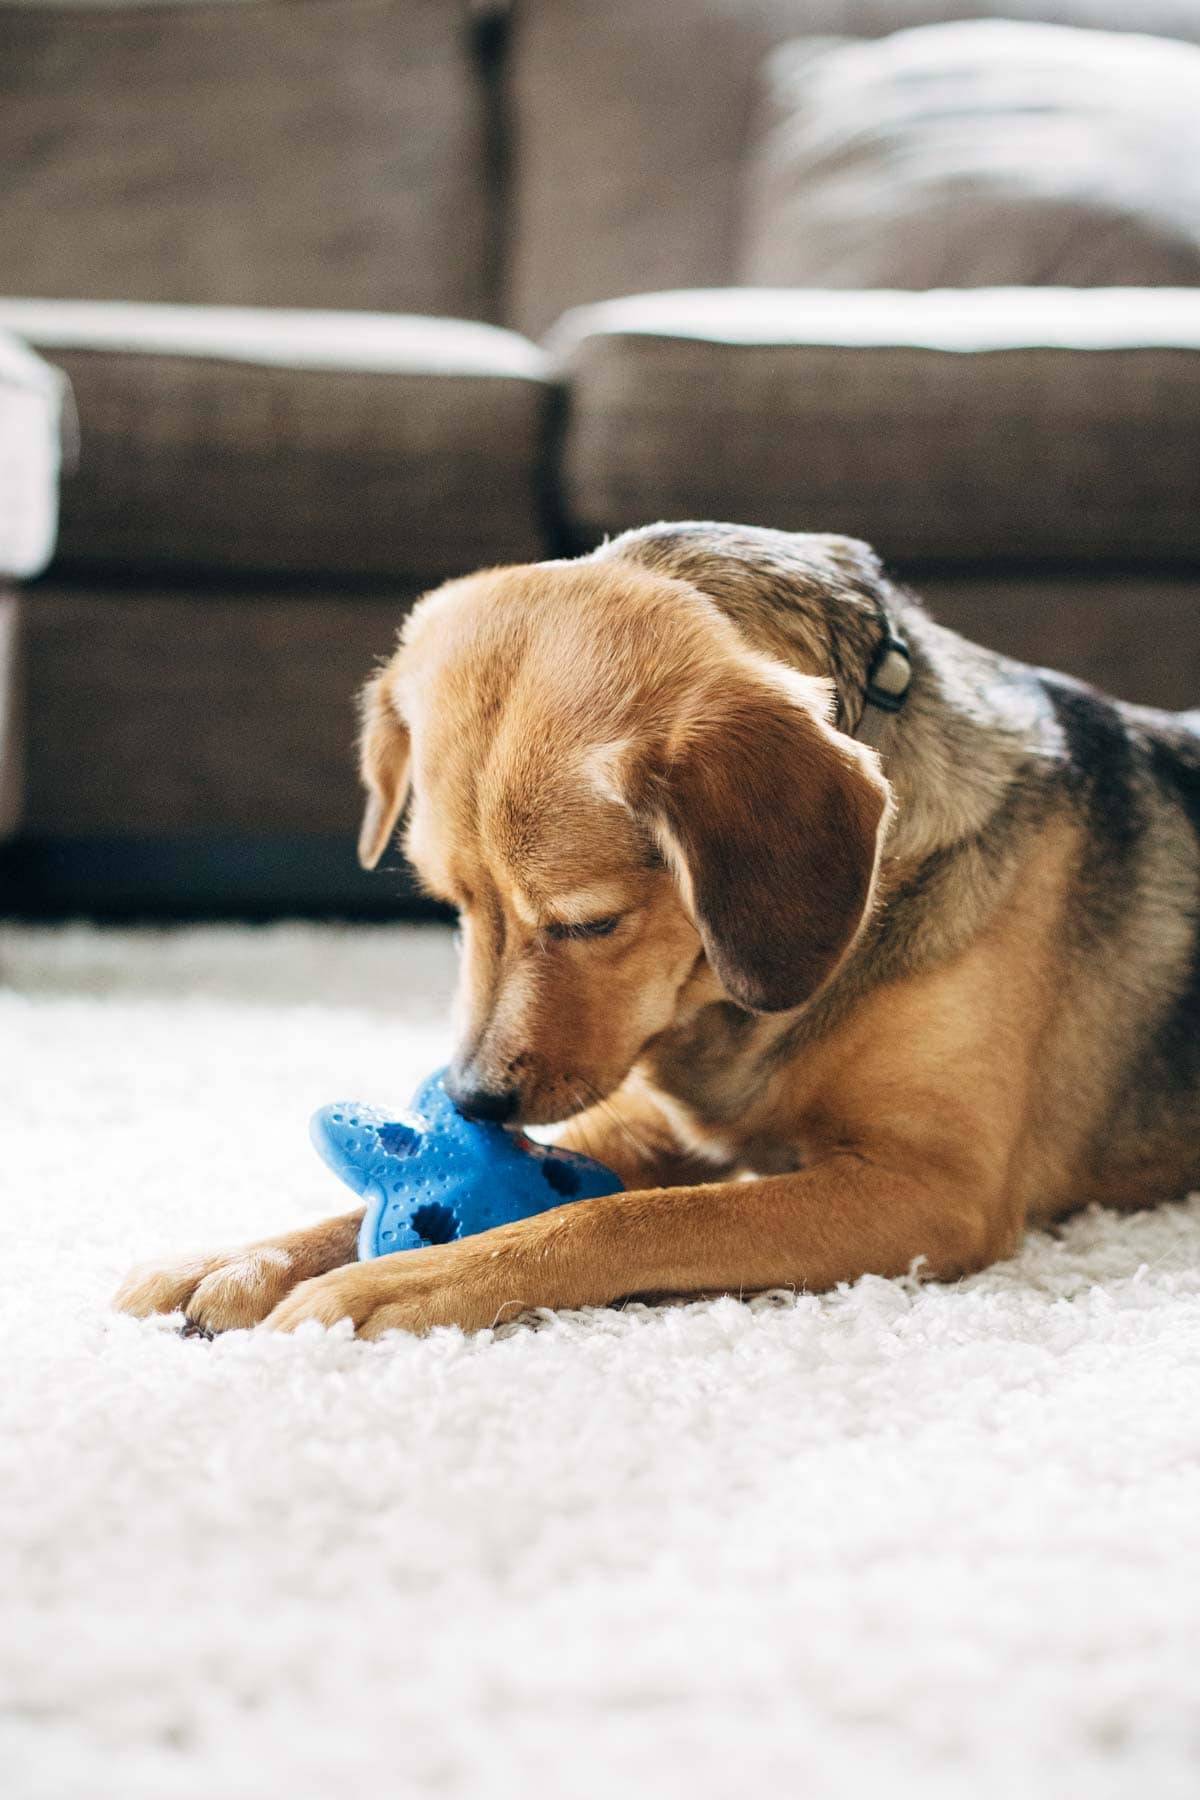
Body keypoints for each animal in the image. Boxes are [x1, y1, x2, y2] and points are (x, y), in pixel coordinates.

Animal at [112, 522, 1200, 1339]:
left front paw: (390, 1284)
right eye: (452, 904)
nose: (470, 1101)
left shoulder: (934, 1184)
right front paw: (242, 1258)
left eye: (589, 923)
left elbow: (618, 1221)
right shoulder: (651, 1121)